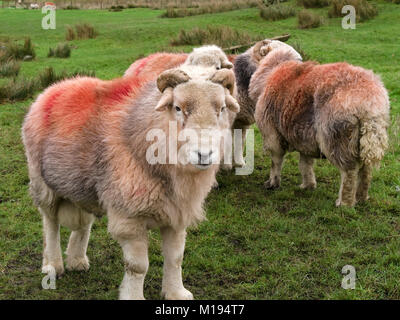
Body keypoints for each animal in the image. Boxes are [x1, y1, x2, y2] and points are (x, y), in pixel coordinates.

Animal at [21, 63, 239, 300]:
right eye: (178, 108)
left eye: (221, 109)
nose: (204, 155)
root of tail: (53, 88)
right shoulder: (130, 218)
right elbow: (137, 266)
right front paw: (134, 295)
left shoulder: (176, 214)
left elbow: (175, 258)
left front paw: (176, 293)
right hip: (43, 184)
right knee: (50, 223)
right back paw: (53, 264)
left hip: (83, 185)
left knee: (84, 221)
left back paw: (77, 260)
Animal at [248, 40, 390, 208]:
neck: (274, 68)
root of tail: (370, 100)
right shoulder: (304, 137)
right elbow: (305, 163)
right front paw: (308, 185)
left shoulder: (272, 133)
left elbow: (275, 161)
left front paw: (272, 183)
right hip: (364, 138)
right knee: (366, 170)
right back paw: (361, 197)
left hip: (337, 136)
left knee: (349, 171)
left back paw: (345, 203)